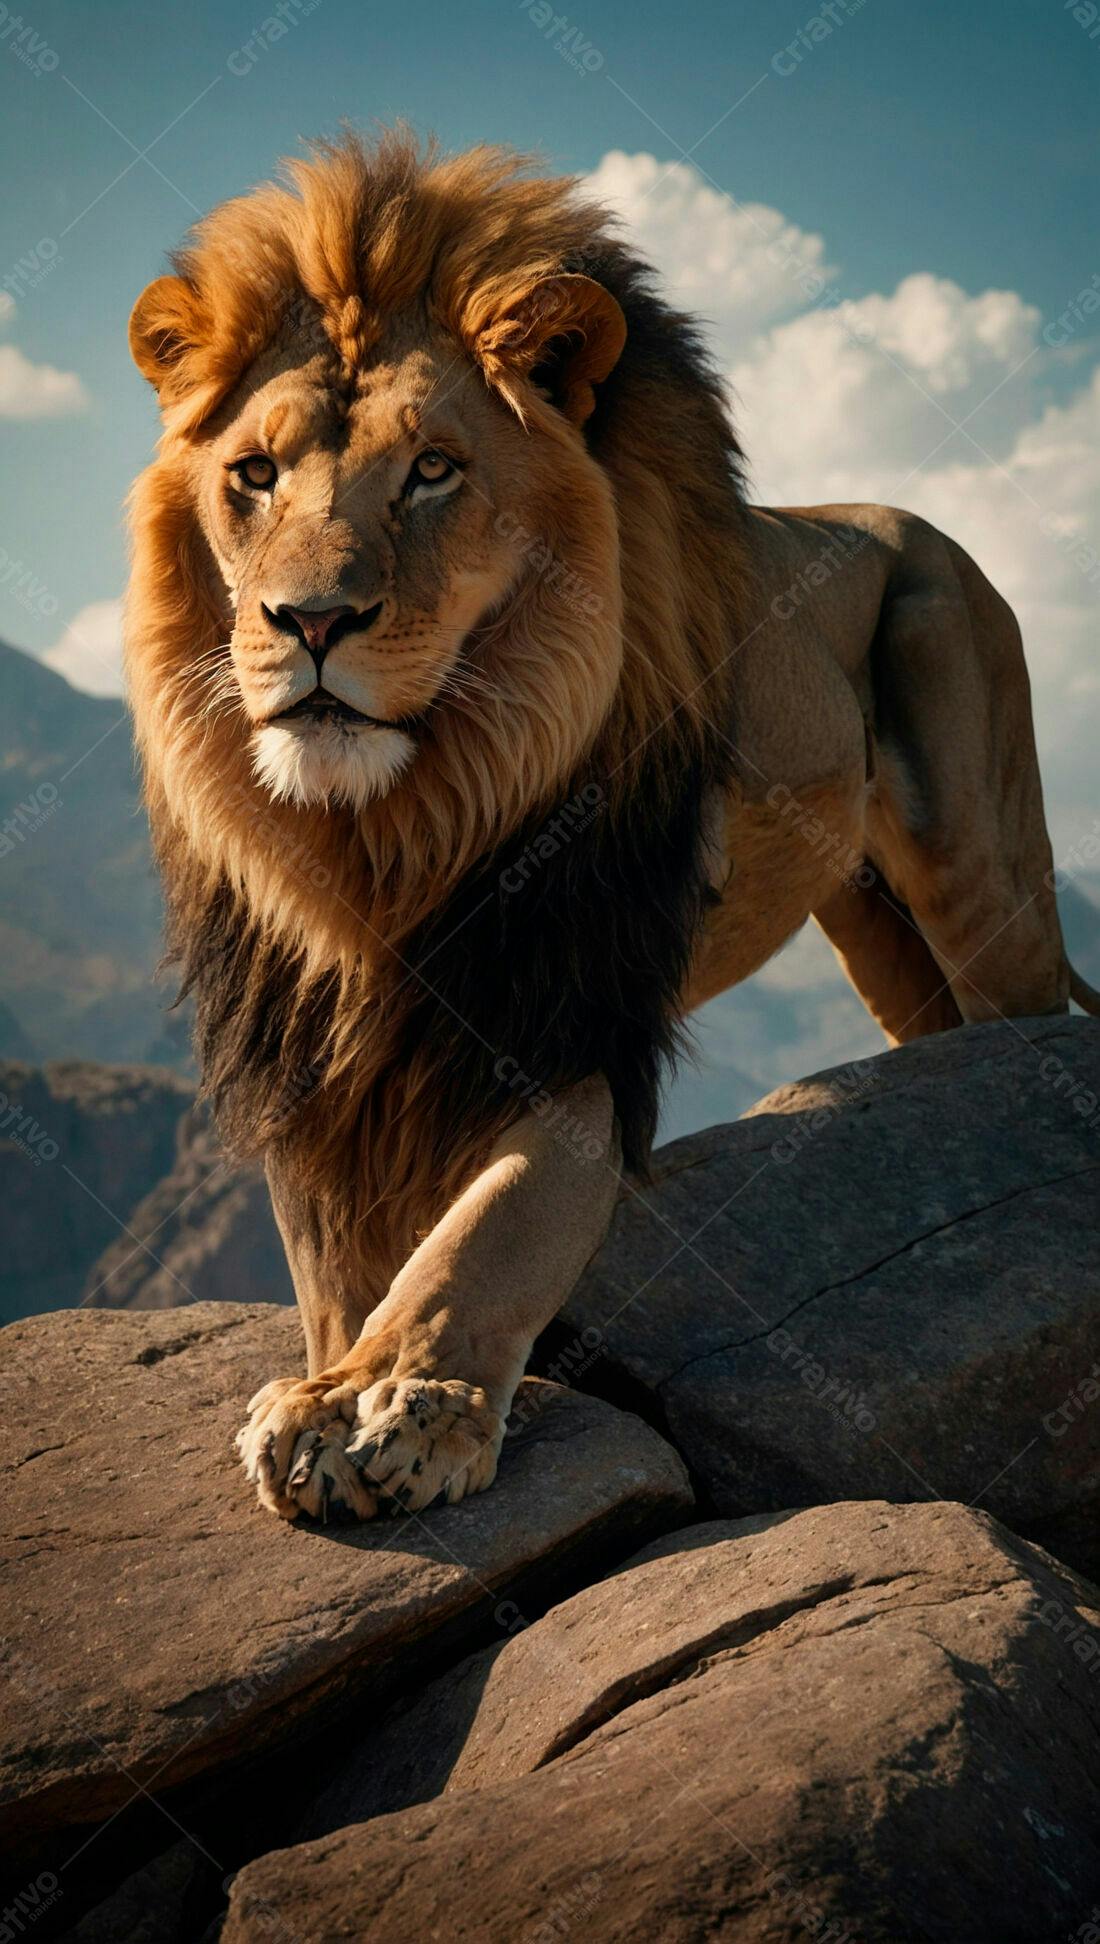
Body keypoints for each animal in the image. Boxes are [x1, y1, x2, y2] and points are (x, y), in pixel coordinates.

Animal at [125, 131, 1099, 1523]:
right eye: (251, 476)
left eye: (432, 470)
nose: (309, 622)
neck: (383, 833)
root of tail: (916, 524)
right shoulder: (312, 1069)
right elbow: (337, 1280)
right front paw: (332, 1381)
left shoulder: (568, 1023)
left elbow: (487, 1237)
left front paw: (386, 1404)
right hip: (874, 929)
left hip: (981, 869)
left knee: (1021, 1036)